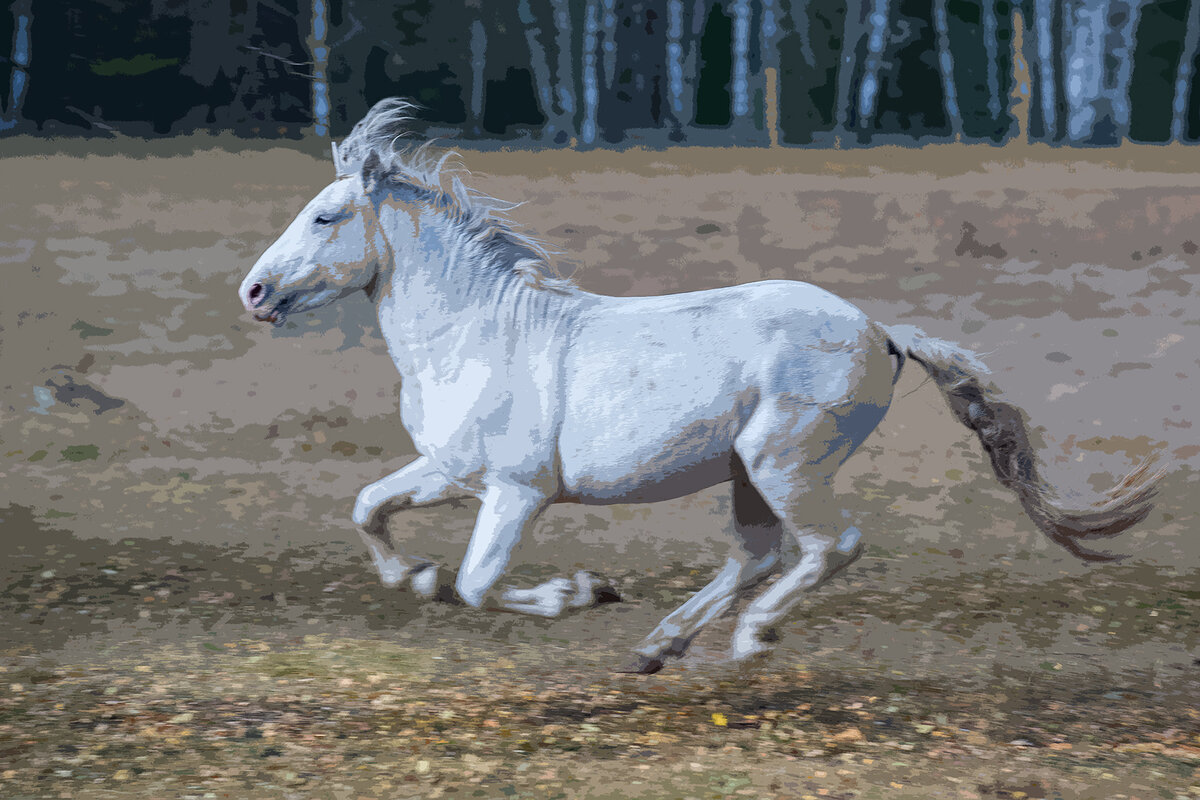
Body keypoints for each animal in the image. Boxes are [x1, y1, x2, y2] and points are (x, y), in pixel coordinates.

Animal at [241, 101, 1161, 676]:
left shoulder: (514, 492)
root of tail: (883, 332)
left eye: (326, 216)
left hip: (784, 461)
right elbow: (369, 508)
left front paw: (580, 591)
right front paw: (415, 577)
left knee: (829, 546)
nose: (253, 292)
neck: (477, 334)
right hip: (748, 472)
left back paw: (751, 639)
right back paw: (657, 647)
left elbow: (479, 582)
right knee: (757, 555)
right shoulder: (447, 472)